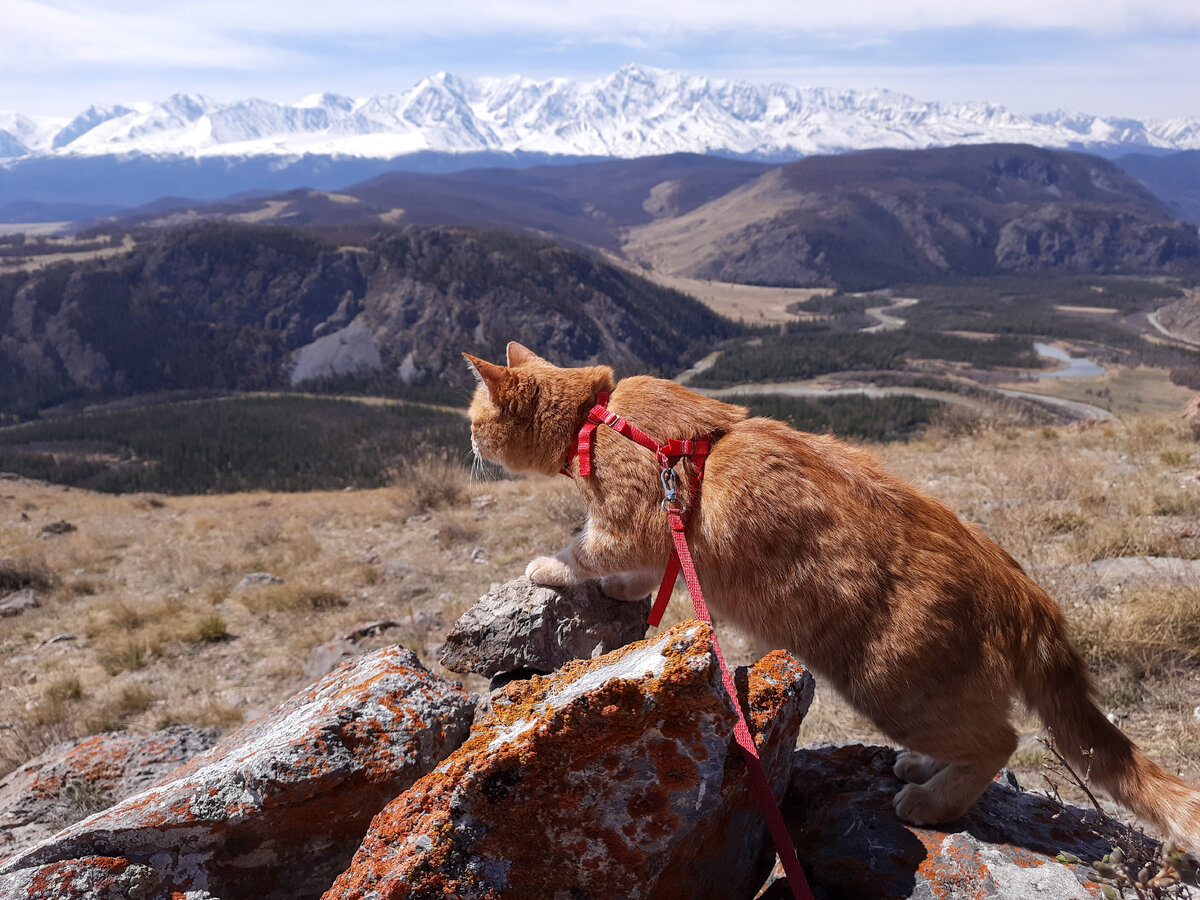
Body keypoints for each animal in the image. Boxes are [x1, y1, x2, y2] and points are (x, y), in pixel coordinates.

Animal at [463, 340, 1200, 844]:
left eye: (473, 421)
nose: (467, 443)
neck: (599, 416)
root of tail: (1024, 591)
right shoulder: (655, 541)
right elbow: (632, 574)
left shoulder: (632, 523)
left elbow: (585, 550)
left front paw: (546, 568)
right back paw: (922, 771)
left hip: (889, 684)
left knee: (1001, 740)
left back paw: (932, 802)